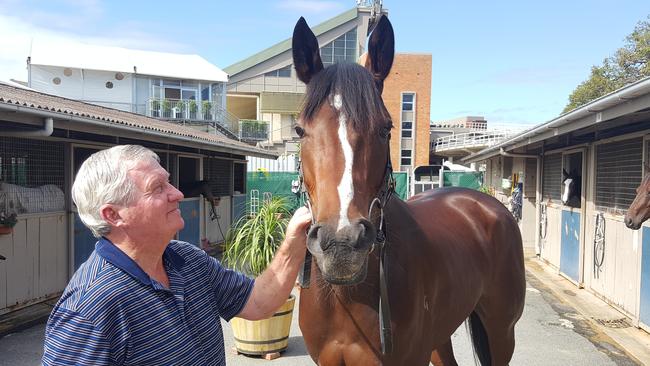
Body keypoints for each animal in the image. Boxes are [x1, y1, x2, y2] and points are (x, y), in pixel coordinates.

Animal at [292, 15, 524, 366]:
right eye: (299, 130)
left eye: (385, 128)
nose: (342, 244)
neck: (348, 296)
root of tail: (487, 204)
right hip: (442, 334)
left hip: (501, 333)